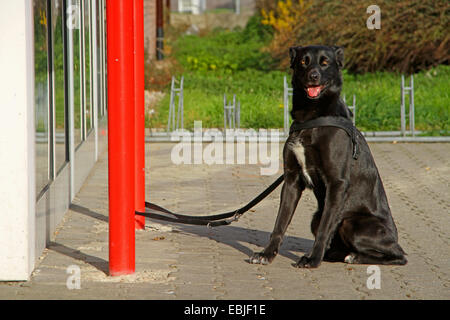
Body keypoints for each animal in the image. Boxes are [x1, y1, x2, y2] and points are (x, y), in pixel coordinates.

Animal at [251, 45, 406, 268]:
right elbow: (280, 223)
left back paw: (353, 256)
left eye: (325, 63)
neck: (312, 118)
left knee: (399, 255)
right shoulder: (291, 180)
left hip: (353, 224)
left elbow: (325, 229)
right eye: (304, 62)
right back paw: (337, 254)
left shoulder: (336, 183)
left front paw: (313, 259)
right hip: (315, 217)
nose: (313, 76)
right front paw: (267, 253)